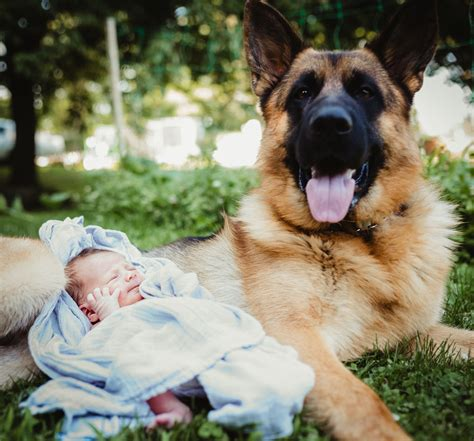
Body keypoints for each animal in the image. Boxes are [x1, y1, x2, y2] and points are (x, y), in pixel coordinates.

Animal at [0, 0, 472, 438]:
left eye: (365, 92)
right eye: (302, 94)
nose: (328, 125)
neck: (361, 240)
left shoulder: (412, 335)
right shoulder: (299, 342)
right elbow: (363, 405)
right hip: (43, 271)